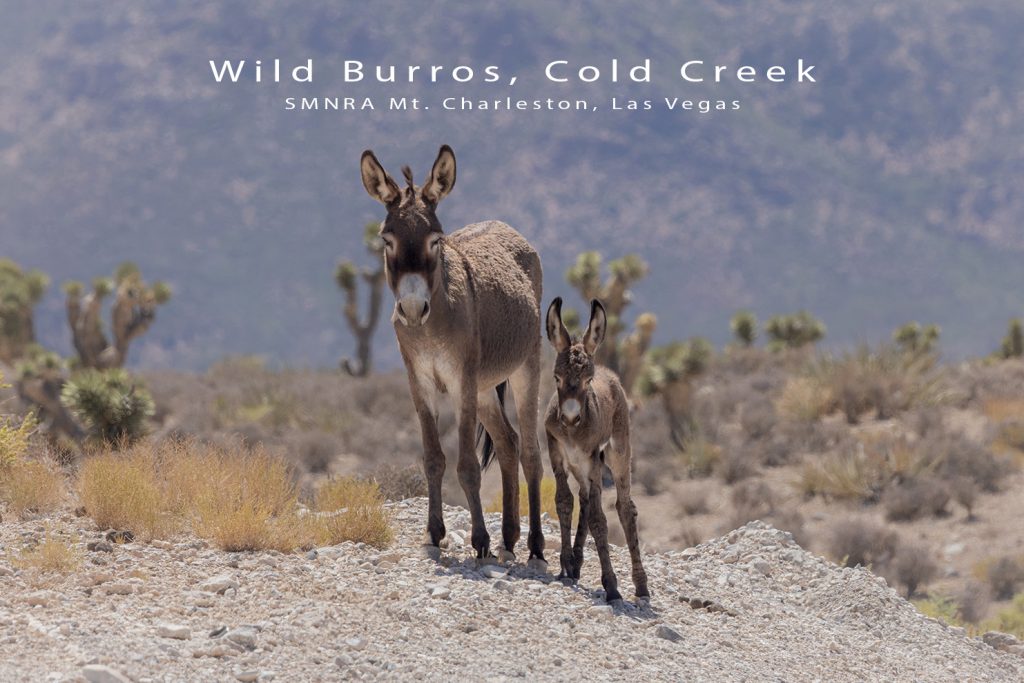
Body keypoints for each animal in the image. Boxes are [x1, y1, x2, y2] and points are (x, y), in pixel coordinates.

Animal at [359, 145, 547, 570]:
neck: (431, 327)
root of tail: (506, 226)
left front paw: (479, 541)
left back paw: (535, 547)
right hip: (485, 387)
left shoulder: (462, 382)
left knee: (530, 452)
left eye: (435, 240)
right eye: (387, 240)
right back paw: (509, 539)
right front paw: (434, 534)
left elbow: (468, 465)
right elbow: (433, 458)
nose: (412, 309)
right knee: (508, 443)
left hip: (524, 367)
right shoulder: (421, 382)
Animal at [544, 297, 649, 602]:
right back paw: (577, 562)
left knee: (624, 507)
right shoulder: (556, 451)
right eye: (556, 377)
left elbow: (600, 520)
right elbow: (564, 501)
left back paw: (641, 584)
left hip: (616, 453)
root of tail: (609, 372)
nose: (569, 418)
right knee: (585, 498)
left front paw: (611, 585)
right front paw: (566, 565)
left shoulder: (591, 458)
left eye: (588, 381)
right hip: (580, 467)